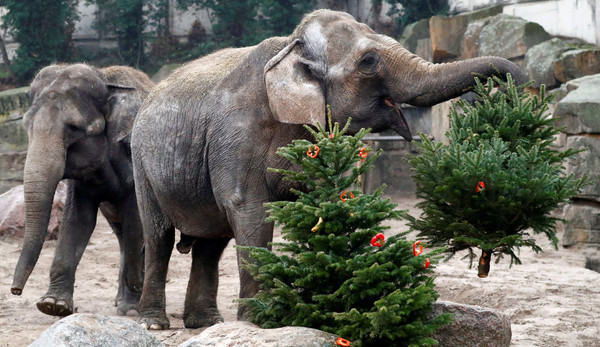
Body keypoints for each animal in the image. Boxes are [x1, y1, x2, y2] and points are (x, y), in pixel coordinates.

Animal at [10, 64, 155, 320]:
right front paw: (53, 305)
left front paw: (131, 309)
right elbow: (78, 220)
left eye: (74, 128)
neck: (106, 79)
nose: (15, 290)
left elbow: (136, 220)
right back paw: (119, 299)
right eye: (27, 124)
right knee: (120, 234)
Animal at [131, 7, 524, 328]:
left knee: (211, 241)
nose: (505, 93)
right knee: (159, 235)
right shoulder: (235, 134)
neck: (291, 46)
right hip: (141, 161)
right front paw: (261, 321)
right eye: (369, 61)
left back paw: (206, 323)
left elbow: (328, 201)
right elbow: (248, 208)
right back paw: (154, 322)